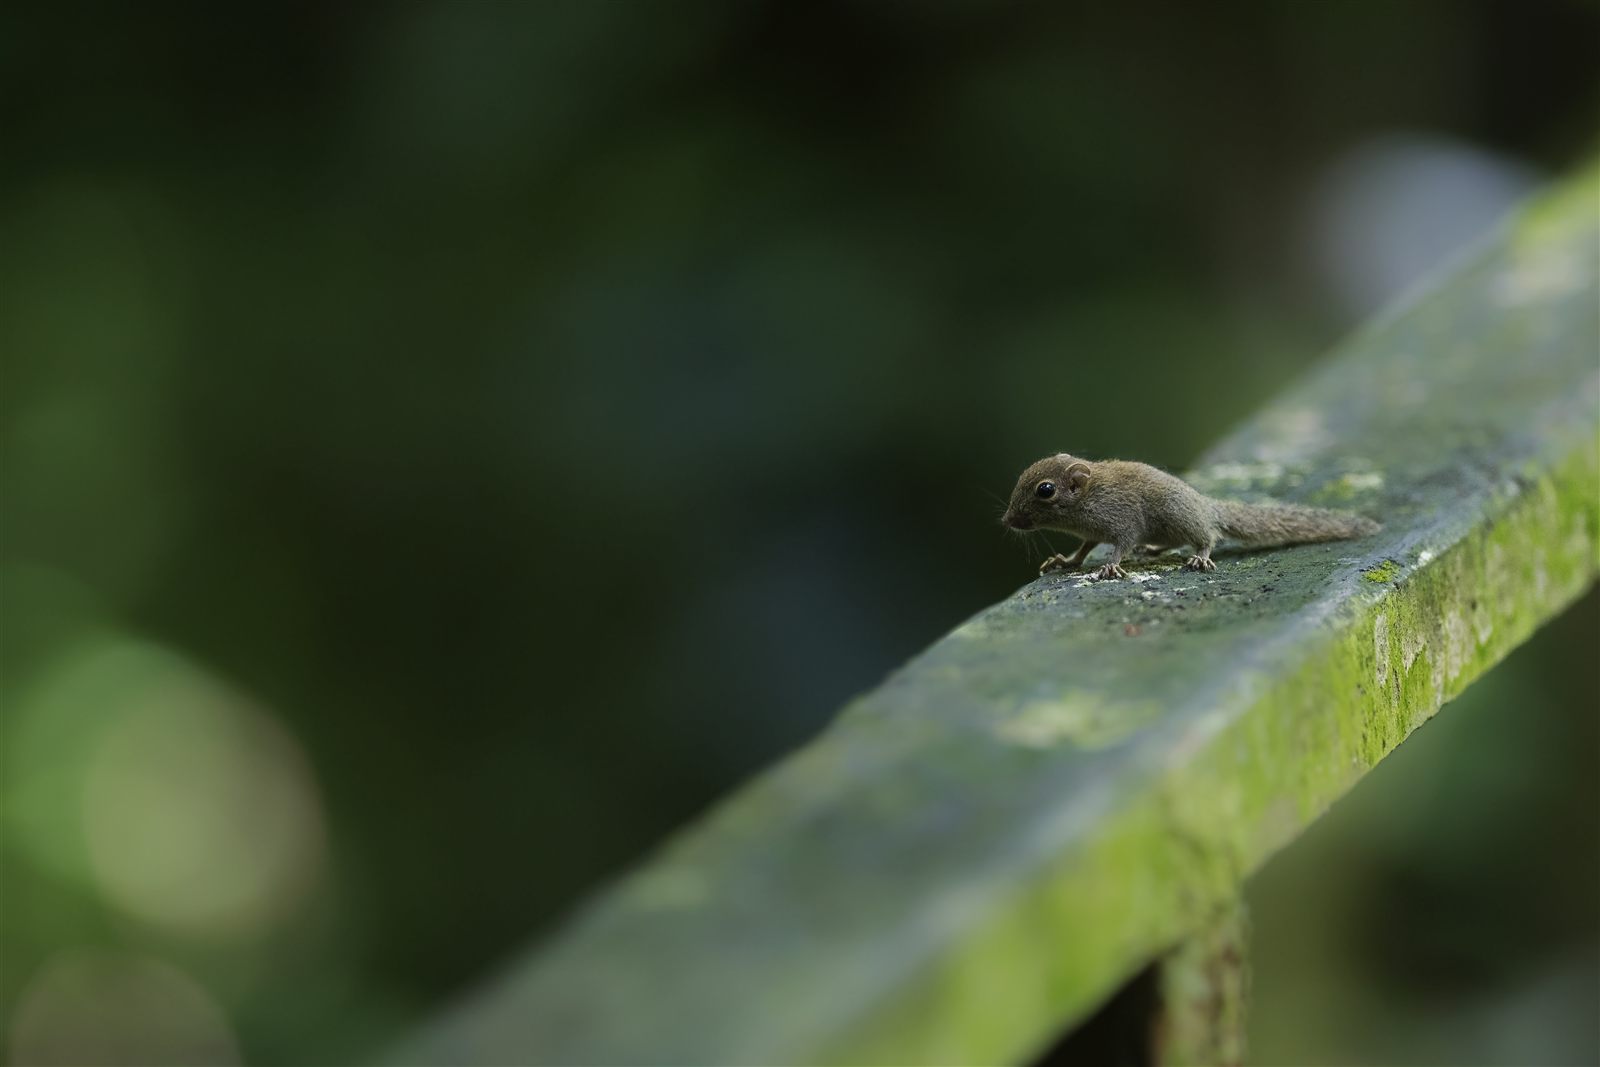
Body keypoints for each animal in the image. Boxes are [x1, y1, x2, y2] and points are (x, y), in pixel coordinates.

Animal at [1001, 453, 1380, 580]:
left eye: (1045, 490)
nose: (1007, 520)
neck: (1088, 498)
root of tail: (1208, 506)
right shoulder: (1092, 534)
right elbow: (1082, 552)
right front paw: (1063, 562)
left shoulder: (1122, 522)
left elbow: (1120, 546)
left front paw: (1110, 566)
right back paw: (1153, 551)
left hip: (1180, 517)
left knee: (1208, 537)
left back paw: (1200, 557)